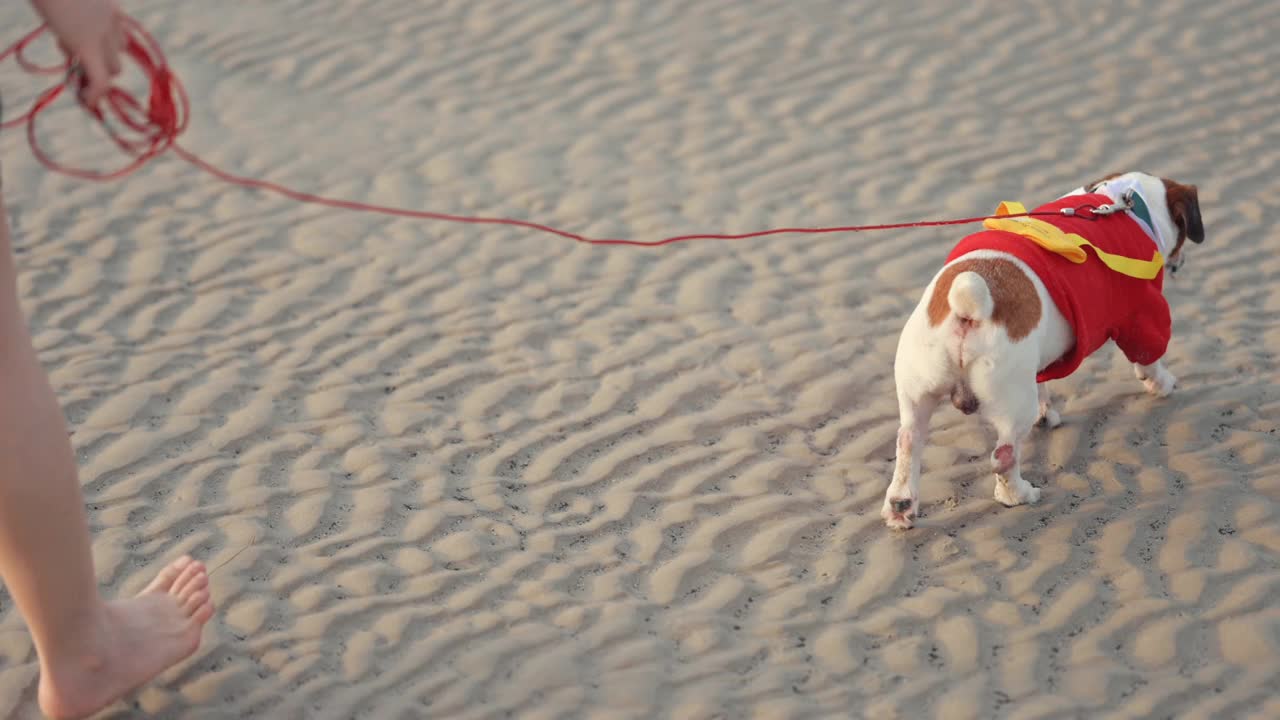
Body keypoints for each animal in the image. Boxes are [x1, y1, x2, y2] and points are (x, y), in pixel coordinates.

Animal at [885, 167, 1203, 527]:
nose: (1180, 262)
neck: (1124, 203)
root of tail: (964, 310)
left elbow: (1044, 385)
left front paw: (1046, 413)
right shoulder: (1141, 314)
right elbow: (1149, 357)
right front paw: (1162, 384)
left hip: (919, 390)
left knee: (909, 440)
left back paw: (900, 505)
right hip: (1011, 402)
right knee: (1004, 454)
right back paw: (1018, 494)